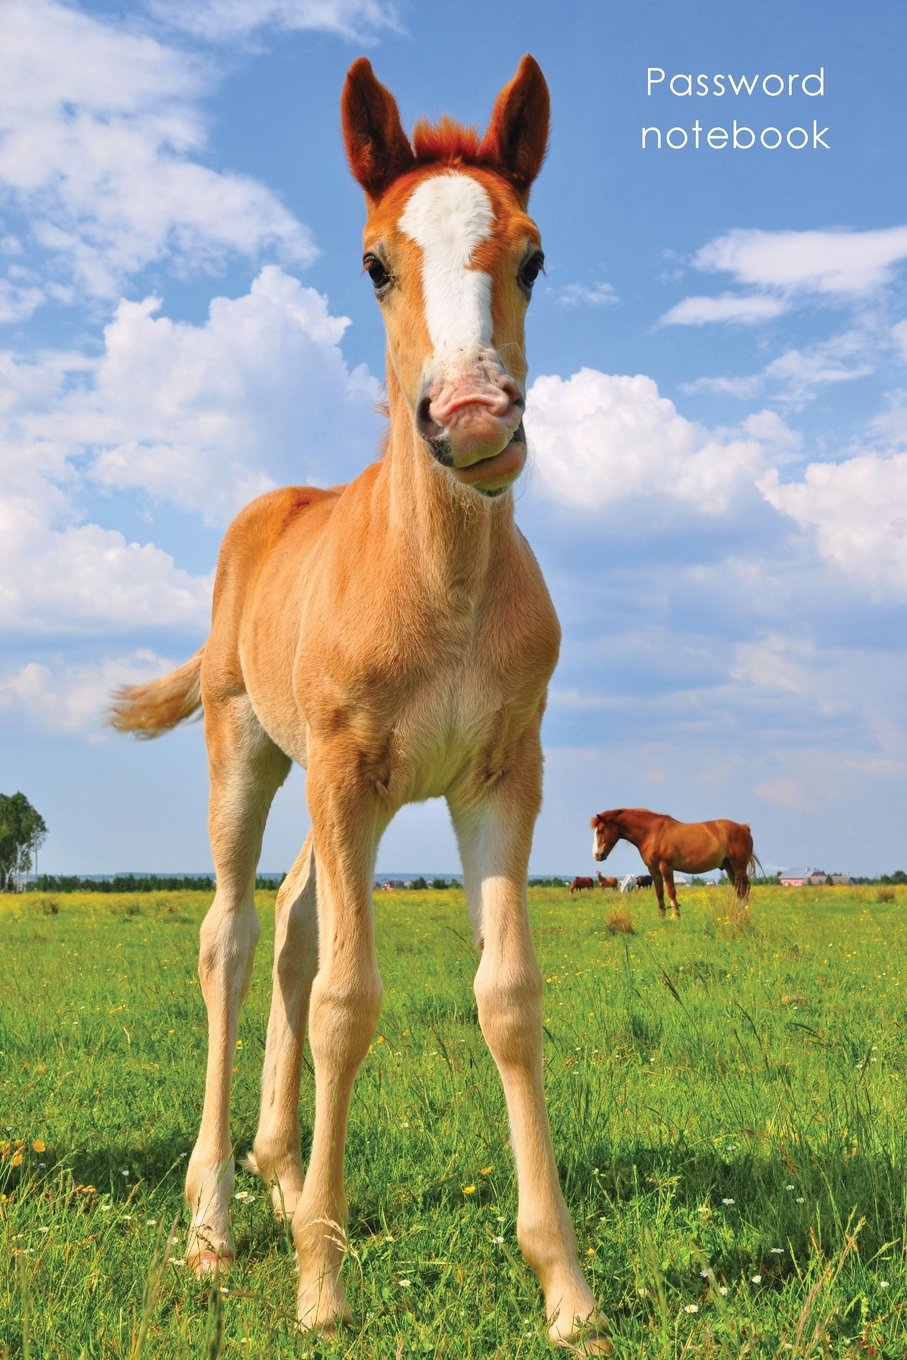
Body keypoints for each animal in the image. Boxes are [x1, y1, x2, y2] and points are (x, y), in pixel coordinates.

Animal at [110, 56, 606, 1353]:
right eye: (375, 261)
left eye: (533, 256)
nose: (473, 417)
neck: (439, 582)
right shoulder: (341, 768)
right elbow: (346, 999)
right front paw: (324, 1287)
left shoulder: (500, 778)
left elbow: (508, 998)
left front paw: (567, 1289)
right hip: (252, 750)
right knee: (234, 936)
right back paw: (218, 1225)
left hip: (354, 801)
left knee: (289, 921)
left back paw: (286, 1182)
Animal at [591, 808, 758, 918]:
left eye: (601, 829)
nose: (597, 855)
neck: (652, 833)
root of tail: (743, 827)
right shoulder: (653, 870)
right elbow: (659, 892)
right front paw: (662, 916)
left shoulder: (666, 867)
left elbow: (671, 891)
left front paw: (675, 916)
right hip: (730, 867)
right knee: (740, 889)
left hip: (738, 866)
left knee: (744, 888)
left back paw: (745, 913)